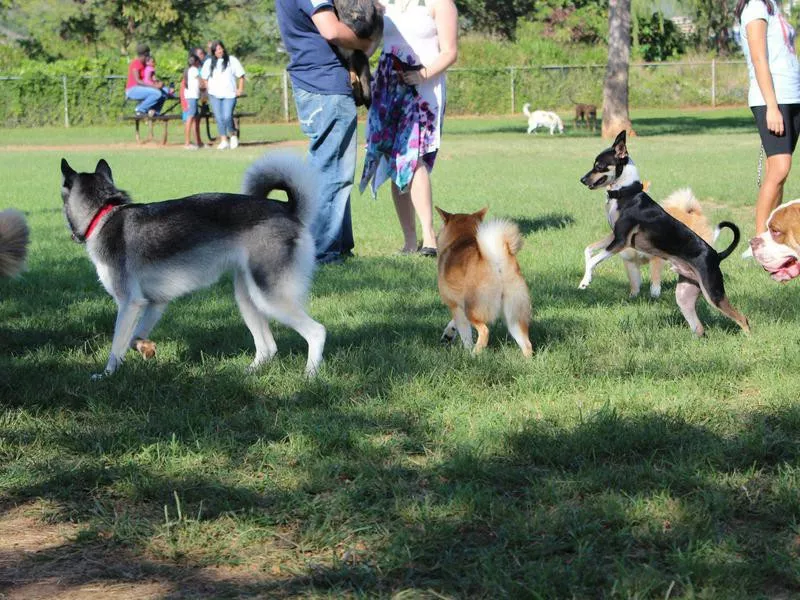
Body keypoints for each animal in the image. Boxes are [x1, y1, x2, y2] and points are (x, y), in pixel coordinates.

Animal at [60, 152, 328, 378]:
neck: (103, 214)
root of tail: (287, 209)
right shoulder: (155, 303)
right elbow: (134, 338)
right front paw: (146, 348)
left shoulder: (129, 303)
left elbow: (117, 347)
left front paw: (107, 376)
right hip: (247, 297)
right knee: (268, 347)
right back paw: (248, 373)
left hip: (268, 297)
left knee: (317, 332)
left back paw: (310, 376)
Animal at [434, 206, 536, 356]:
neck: (461, 237)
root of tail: (497, 261)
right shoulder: (460, 306)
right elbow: (453, 323)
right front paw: (448, 334)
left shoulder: (455, 305)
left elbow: (465, 333)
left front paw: (467, 349)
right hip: (514, 316)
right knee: (527, 344)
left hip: (473, 309)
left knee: (484, 331)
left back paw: (474, 354)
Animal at [580, 131, 748, 336]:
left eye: (599, 166)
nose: (582, 180)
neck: (626, 193)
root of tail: (717, 255)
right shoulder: (614, 236)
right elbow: (588, 250)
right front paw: (586, 277)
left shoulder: (620, 241)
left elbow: (594, 260)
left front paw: (585, 281)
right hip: (684, 295)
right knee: (699, 328)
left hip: (713, 293)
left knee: (743, 319)